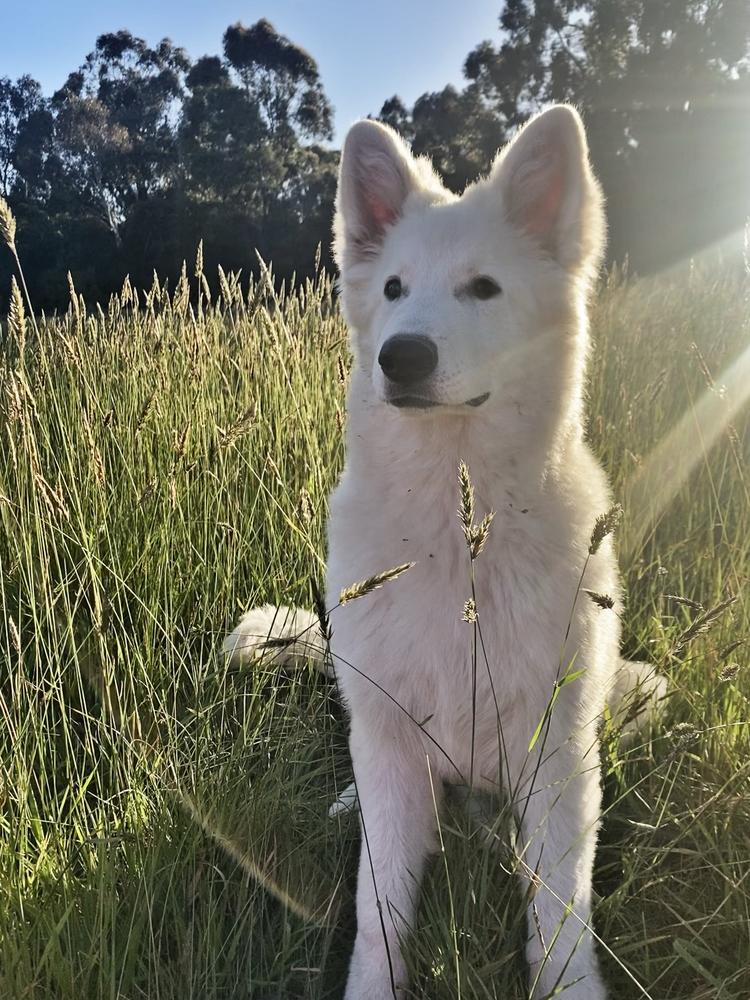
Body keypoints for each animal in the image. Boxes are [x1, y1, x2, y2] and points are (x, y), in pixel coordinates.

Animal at [226, 105, 668, 996]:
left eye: (483, 289)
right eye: (394, 288)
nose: (401, 356)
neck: (455, 535)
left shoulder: (556, 752)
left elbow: (559, 911)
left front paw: (569, 985)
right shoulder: (395, 745)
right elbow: (380, 910)